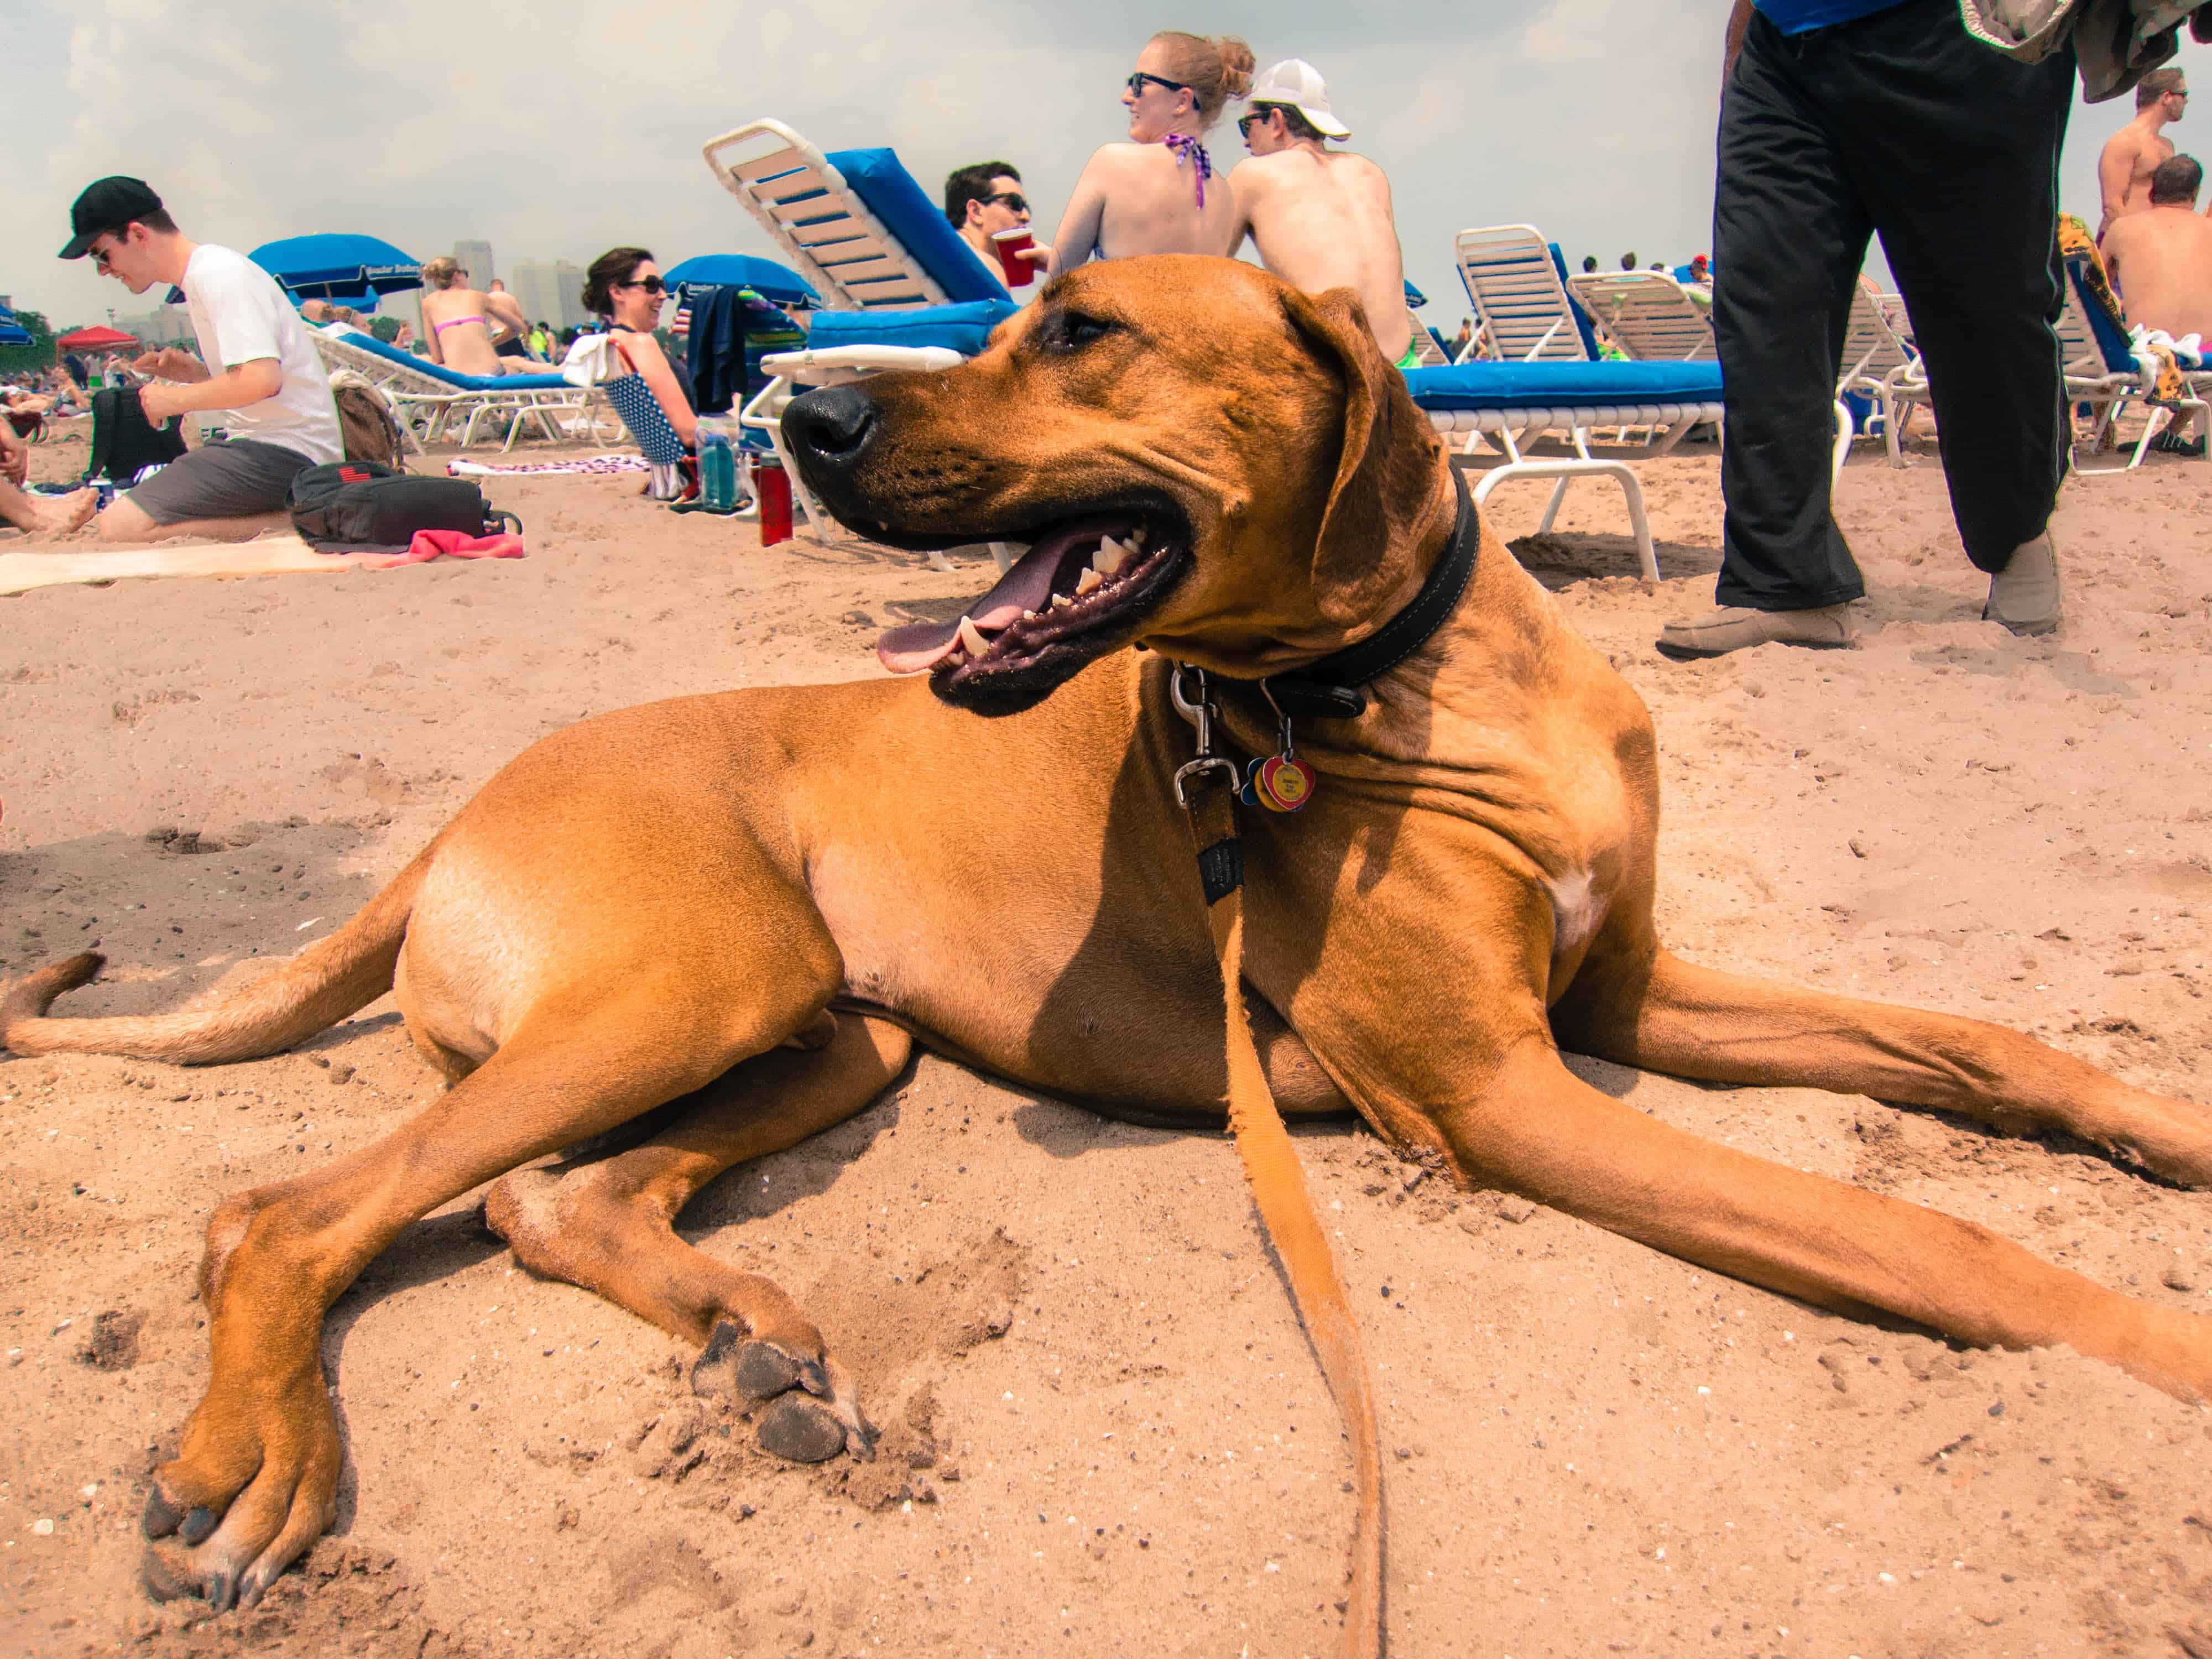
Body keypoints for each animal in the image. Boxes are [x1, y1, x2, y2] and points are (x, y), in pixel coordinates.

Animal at [4, 260, 2212, 1637]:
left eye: (1081, 333)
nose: (801, 409)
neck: (1404, 684)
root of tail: (454, 813)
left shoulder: (1624, 990)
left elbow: (1984, 1046)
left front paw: (2162, 1129)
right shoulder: (1505, 1091)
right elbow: (1929, 1231)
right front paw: (2156, 1344)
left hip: (829, 1030)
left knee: (554, 1197)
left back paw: (751, 1344)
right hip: (685, 984)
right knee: (287, 1208)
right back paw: (247, 1471)